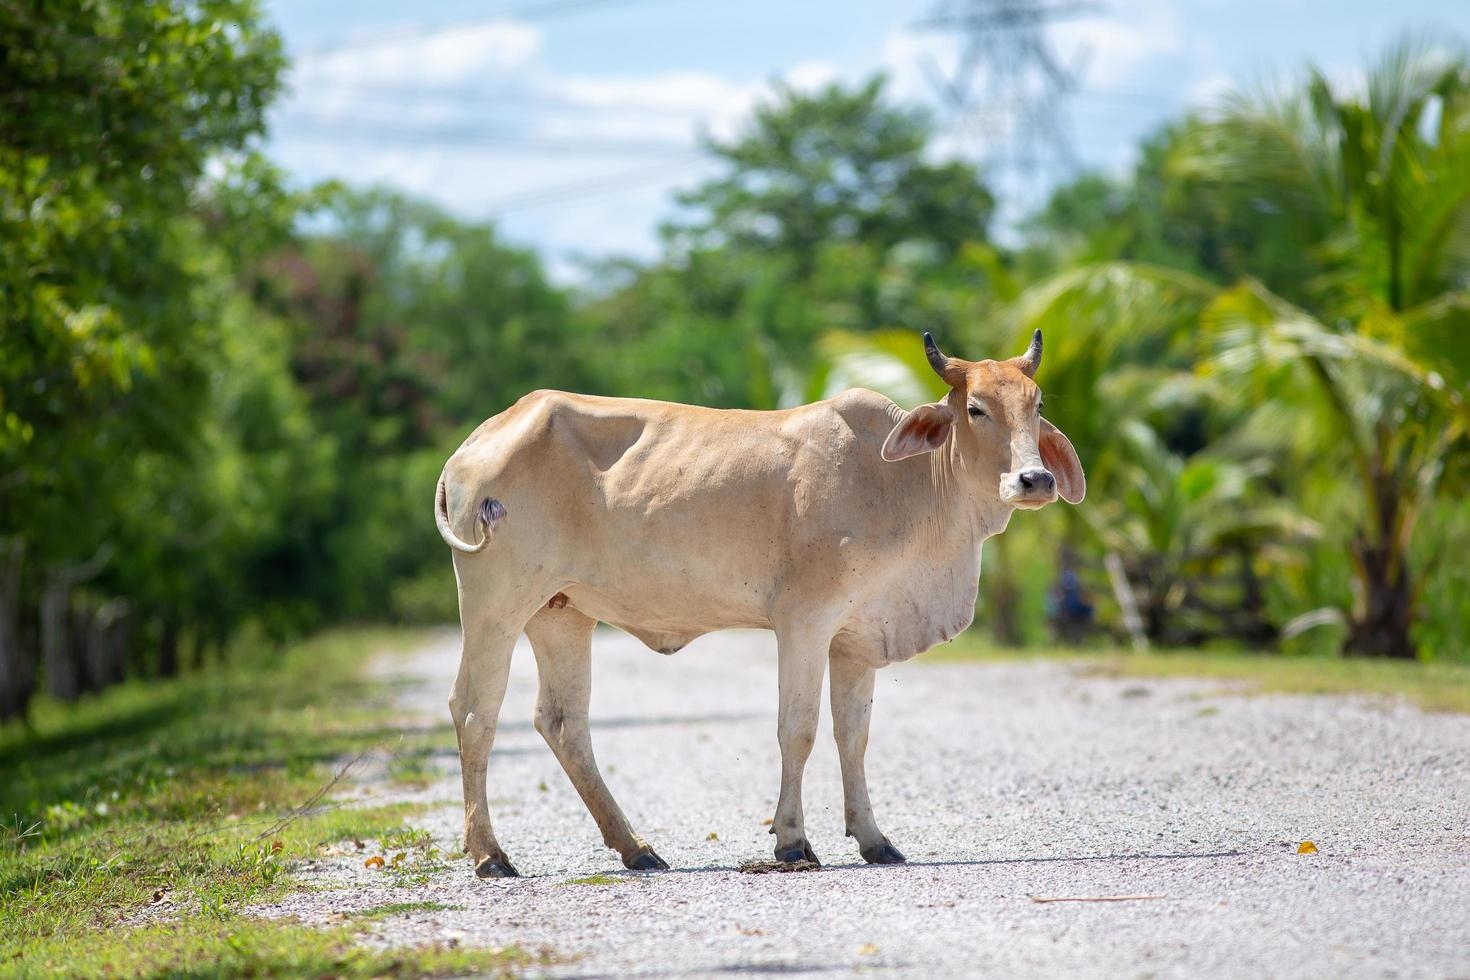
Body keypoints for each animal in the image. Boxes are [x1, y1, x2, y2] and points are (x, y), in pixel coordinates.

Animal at [432, 332, 1081, 881]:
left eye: (1036, 403)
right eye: (976, 409)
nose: (1035, 479)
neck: (902, 483)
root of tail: (478, 439)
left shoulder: (857, 638)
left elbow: (854, 734)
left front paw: (874, 840)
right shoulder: (804, 622)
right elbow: (799, 729)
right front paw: (792, 842)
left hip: (560, 612)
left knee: (564, 722)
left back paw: (636, 848)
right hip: (496, 604)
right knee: (474, 711)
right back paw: (491, 855)